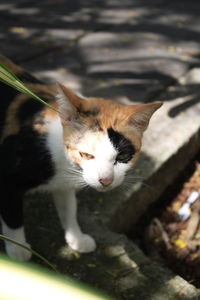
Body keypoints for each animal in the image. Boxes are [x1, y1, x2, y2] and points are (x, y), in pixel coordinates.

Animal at [0, 55, 162, 262]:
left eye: (123, 156)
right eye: (86, 155)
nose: (106, 180)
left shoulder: (63, 183)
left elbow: (69, 209)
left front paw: (76, 239)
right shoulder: (7, 180)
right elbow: (12, 218)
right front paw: (18, 250)